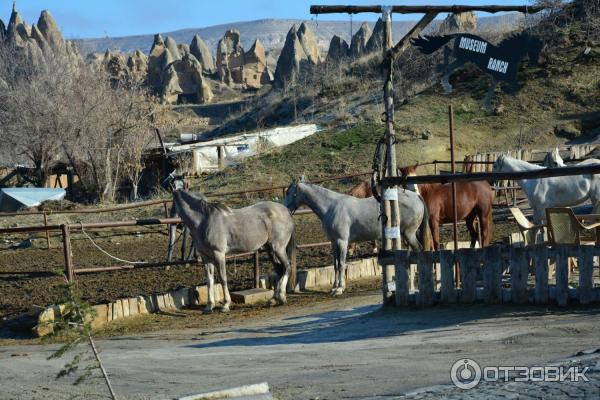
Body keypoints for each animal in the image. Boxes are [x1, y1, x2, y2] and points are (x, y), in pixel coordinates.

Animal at [284, 183, 428, 296]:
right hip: (405, 235)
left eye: (290, 193)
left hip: (409, 234)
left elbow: (342, 264)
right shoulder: (334, 243)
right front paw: (334, 287)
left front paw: (339, 289)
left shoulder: (342, 242)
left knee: (418, 251)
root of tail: (416, 197)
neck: (331, 207)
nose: (285, 209)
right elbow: (336, 265)